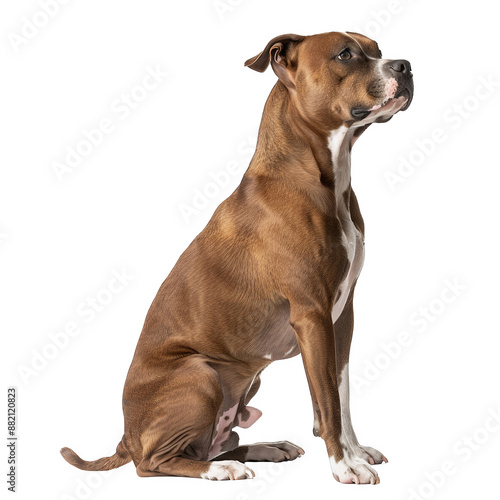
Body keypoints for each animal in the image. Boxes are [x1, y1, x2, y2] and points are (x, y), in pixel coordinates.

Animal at [61, 31, 414, 484]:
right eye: (345, 54)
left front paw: (355, 451)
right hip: (200, 374)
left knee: (214, 441)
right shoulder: (312, 315)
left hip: (245, 379)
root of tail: (126, 436)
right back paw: (220, 469)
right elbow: (329, 403)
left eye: (376, 48)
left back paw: (266, 448)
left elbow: (342, 391)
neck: (322, 177)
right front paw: (344, 466)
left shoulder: (342, 315)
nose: (405, 65)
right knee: (154, 463)